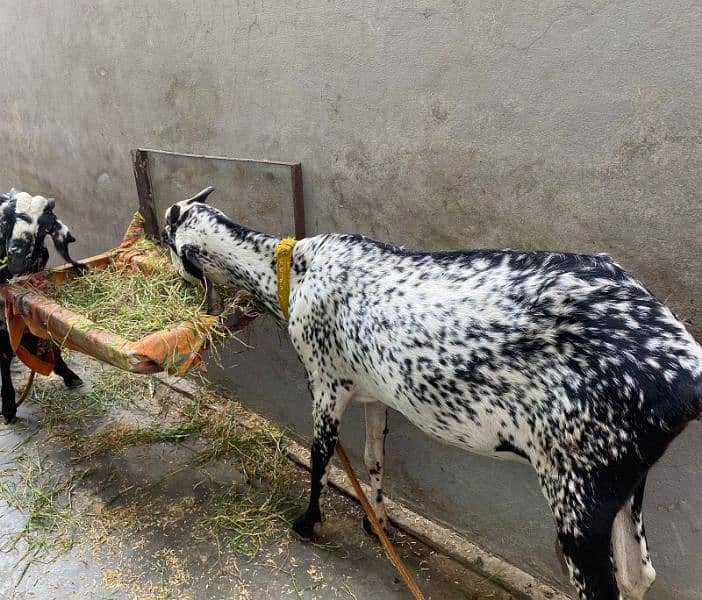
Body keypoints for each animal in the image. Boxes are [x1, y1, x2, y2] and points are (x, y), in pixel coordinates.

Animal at [0, 188, 83, 422]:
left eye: (44, 228)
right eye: (5, 220)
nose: (17, 258)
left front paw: (67, 373)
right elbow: (3, 355)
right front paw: (8, 406)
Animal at [164, 188, 702, 600]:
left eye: (169, 238)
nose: (171, 273)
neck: (293, 270)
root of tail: (685, 365)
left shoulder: (326, 381)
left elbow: (321, 457)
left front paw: (308, 523)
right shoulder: (374, 394)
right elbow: (373, 457)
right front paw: (377, 521)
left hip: (577, 485)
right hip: (622, 478)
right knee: (639, 576)